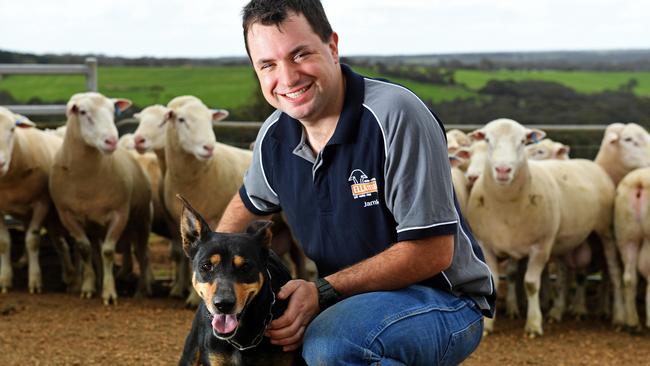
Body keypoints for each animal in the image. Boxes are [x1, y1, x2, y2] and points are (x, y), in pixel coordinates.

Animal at [0, 107, 76, 294]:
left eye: (12, 129)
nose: (0, 164)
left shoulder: (41, 204)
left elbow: (32, 241)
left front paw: (35, 282)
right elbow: (4, 242)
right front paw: (5, 280)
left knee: (62, 243)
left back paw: (71, 276)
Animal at [49, 93, 153, 304]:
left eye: (113, 111)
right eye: (82, 112)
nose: (111, 141)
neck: (87, 181)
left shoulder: (120, 214)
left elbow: (108, 252)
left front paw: (109, 292)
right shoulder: (67, 215)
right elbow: (85, 249)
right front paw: (88, 288)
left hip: (142, 220)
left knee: (142, 254)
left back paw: (142, 290)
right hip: (95, 227)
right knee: (96, 252)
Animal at [468, 118, 616, 336]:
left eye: (523, 141)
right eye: (487, 139)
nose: (503, 170)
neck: (505, 204)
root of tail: (586, 162)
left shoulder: (541, 247)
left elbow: (530, 284)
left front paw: (534, 324)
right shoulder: (486, 245)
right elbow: (493, 280)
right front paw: (487, 326)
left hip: (605, 231)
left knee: (611, 271)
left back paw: (618, 315)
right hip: (565, 242)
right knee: (568, 276)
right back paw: (560, 311)